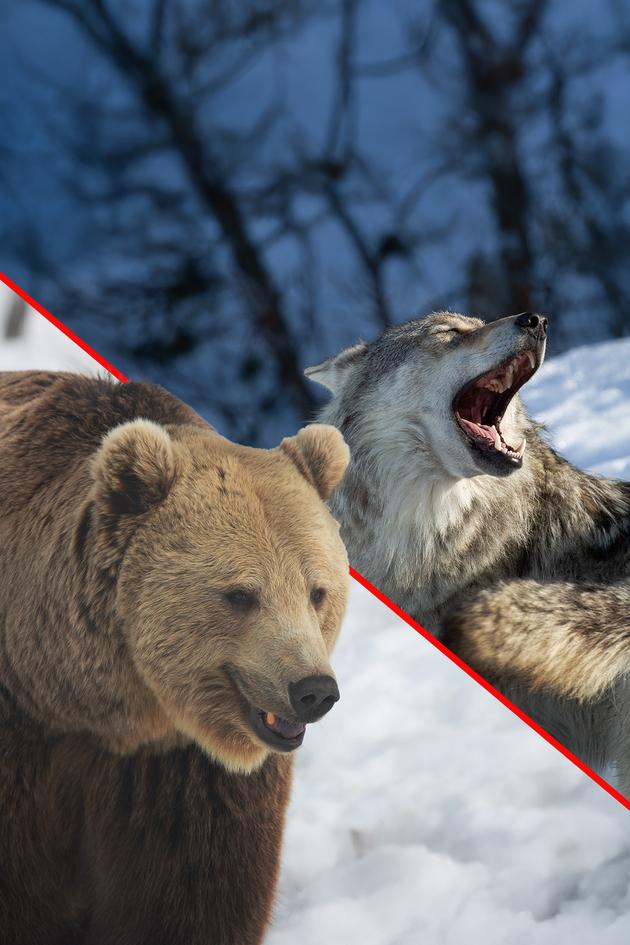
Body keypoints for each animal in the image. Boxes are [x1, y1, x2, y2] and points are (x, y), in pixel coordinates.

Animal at [0, 370, 350, 945]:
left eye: (316, 591)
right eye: (241, 594)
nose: (313, 690)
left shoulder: (182, 777)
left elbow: (186, 901)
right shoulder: (27, 742)